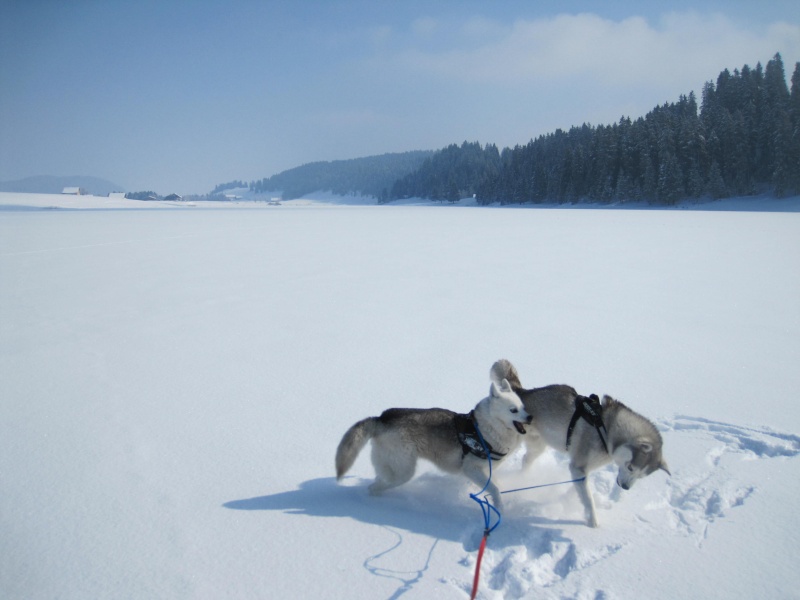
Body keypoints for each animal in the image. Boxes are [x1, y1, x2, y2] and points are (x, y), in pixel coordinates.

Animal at [336, 378, 532, 508]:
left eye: (523, 407)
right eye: (513, 410)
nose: (530, 417)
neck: (487, 428)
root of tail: (381, 418)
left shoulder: (486, 471)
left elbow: (496, 485)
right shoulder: (471, 469)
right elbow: (495, 490)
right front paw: (500, 509)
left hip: (391, 466)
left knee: (378, 480)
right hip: (403, 471)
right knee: (375, 486)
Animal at [494, 358, 668, 528]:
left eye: (642, 476)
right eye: (631, 467)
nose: (625, 487)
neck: (606, 428)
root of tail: (522, 392)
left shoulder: (582, 469)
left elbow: (579, 489)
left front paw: (568, 499)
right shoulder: (578, 466)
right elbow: (588, 498)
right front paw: (593, 521)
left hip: (538, 446)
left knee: (526, 460)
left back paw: (523, 477)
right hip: (509, 444)